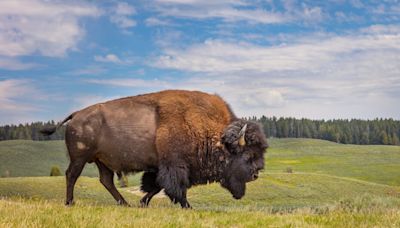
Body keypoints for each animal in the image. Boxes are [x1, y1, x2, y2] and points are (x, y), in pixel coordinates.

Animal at [39, 90, 268, 208]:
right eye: (248, 155)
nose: (256, 173)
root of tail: (76, 114)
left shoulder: (161, 167)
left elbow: (156, 185)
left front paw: (142, 203)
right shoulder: (175, 166)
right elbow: (174, 187)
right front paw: (187, 206)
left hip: (102, 161)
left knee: (106, 180)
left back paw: (125, 204)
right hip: (80, 157)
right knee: (72, 175)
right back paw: (70, 203)